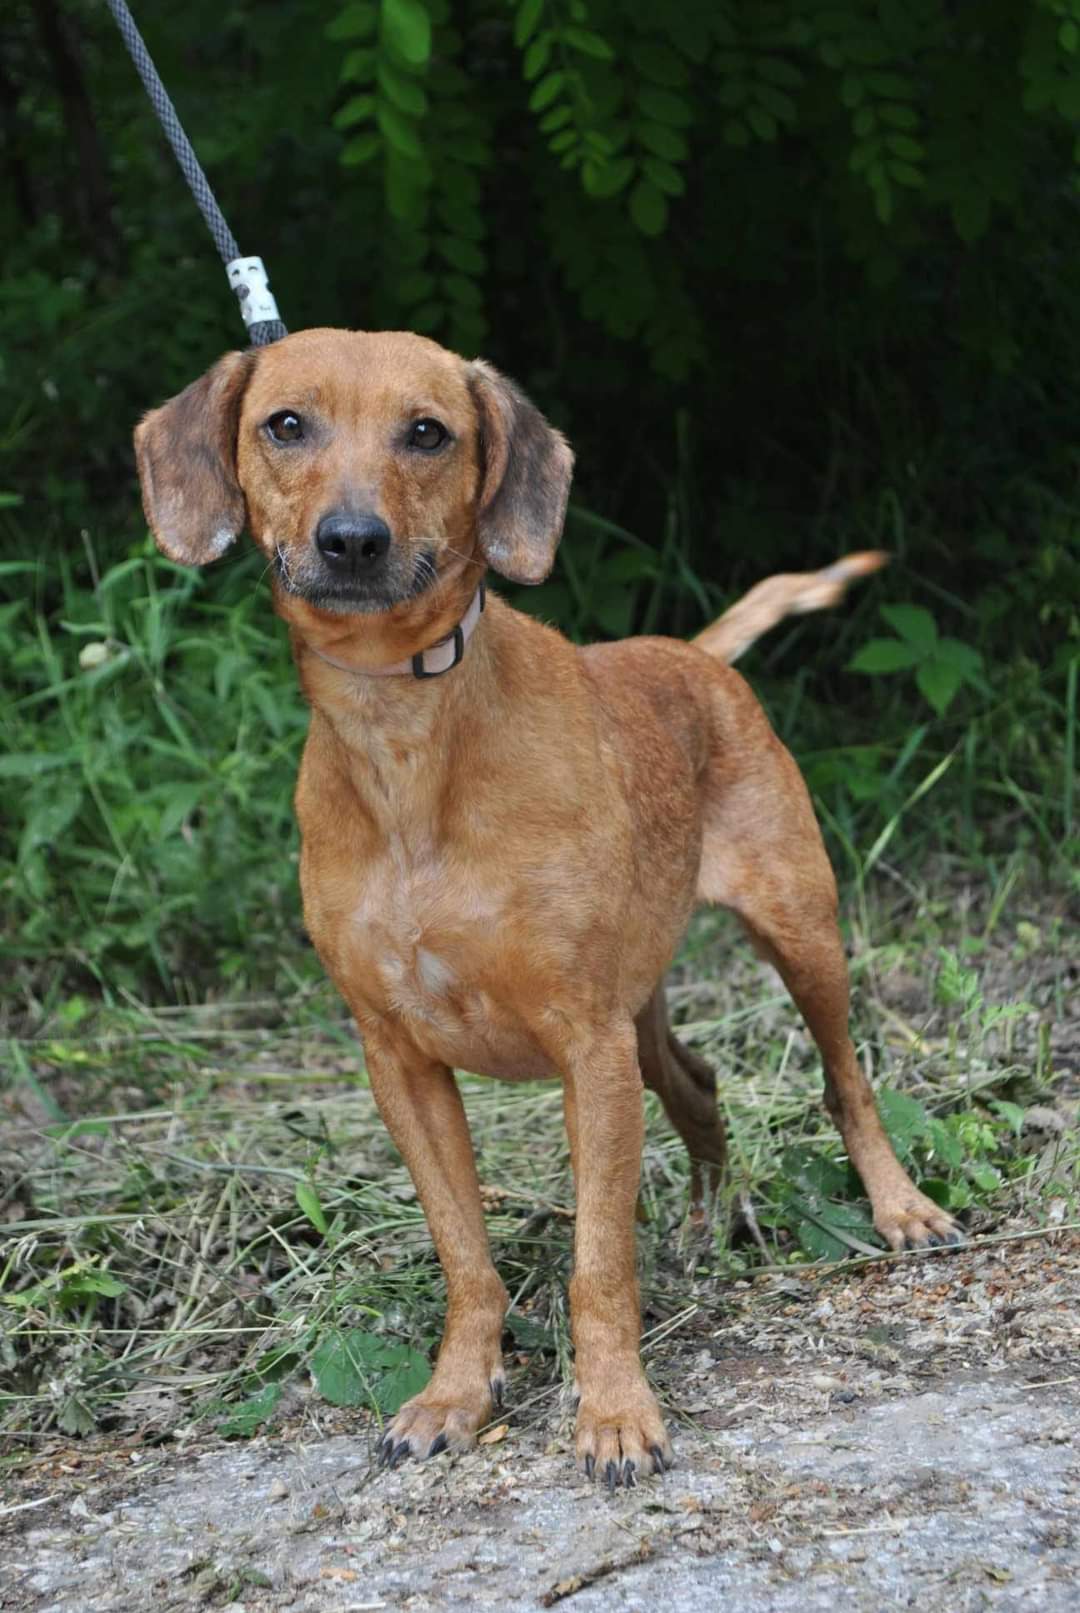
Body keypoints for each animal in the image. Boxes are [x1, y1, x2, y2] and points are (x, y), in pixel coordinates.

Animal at [134, 328, 959, 1488]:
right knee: (700, 1085)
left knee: (849, 1082)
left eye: (428, 432)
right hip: (645, 1013)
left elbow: (596, 1260)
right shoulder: (403, 1062)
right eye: (285, 424)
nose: (352, 540)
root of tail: (692, 653)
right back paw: (705, 1225)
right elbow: (466, 1256)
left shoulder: (587, 1047)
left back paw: (899, 1208)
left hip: (801, 936)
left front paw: (615, 1410)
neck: (407, 740)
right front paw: (456, 1393)